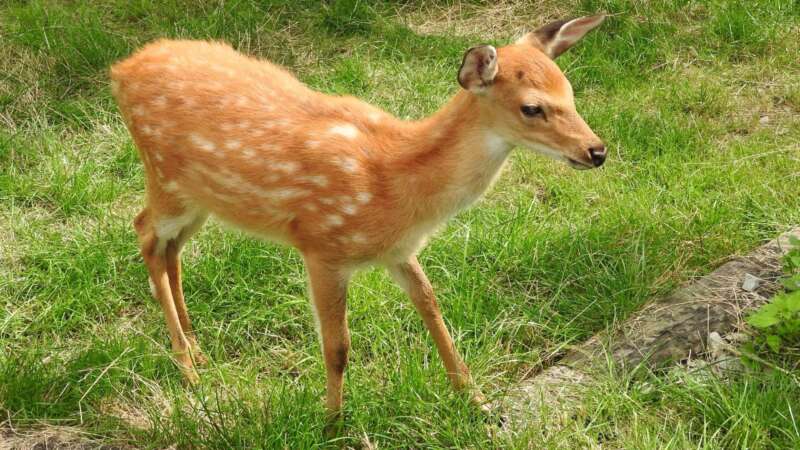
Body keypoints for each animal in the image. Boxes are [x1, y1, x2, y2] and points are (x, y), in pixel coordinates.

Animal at [108, 12, 608, 424]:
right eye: (531, 107)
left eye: (570, 92)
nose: (597, 151)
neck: (396, 185)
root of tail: (120, 71)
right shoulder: (321, 246)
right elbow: (337, 347)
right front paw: (332, 424)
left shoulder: (399, 251)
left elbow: (433, 309)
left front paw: (478, 401)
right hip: (166, 180)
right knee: (144, 231)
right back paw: (188, 368)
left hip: (202, 199)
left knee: (171, 249)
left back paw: (197, 350)